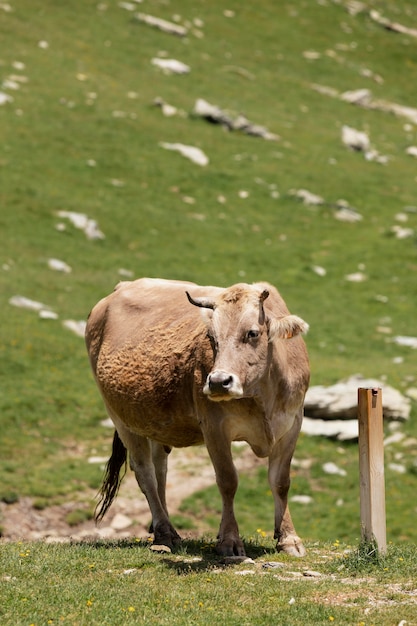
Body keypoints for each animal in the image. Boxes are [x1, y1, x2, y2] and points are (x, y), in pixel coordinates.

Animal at [85, 278, 308, 556]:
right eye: (211, 337)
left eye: (253, 333)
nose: (218, 381)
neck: (262, 394)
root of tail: (120, 287)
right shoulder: (214, 427)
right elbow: (227, 480)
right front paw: (229, 541)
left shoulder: (292, 424)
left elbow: (281, 481)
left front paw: (289, 538)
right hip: (121, 417)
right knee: (145, 472)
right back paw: (163, 532)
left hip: (154, 422)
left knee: (160, 470)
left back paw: (165, 528)